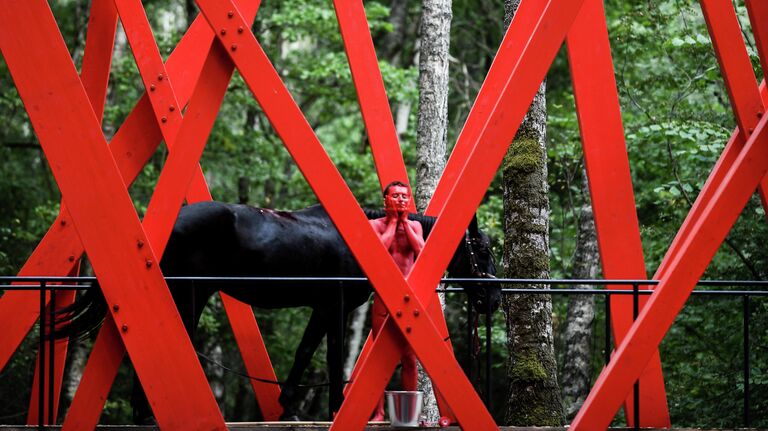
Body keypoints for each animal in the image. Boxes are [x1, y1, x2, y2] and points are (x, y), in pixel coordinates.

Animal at [54, 202, 498, 422]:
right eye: (482, 249)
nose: (492, 299)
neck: (367, 240)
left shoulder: (321, 309)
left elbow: (304, 353)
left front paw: (289, 404)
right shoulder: (333, 307)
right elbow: (331, 357)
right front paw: (331, 408)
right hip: (190, 294)